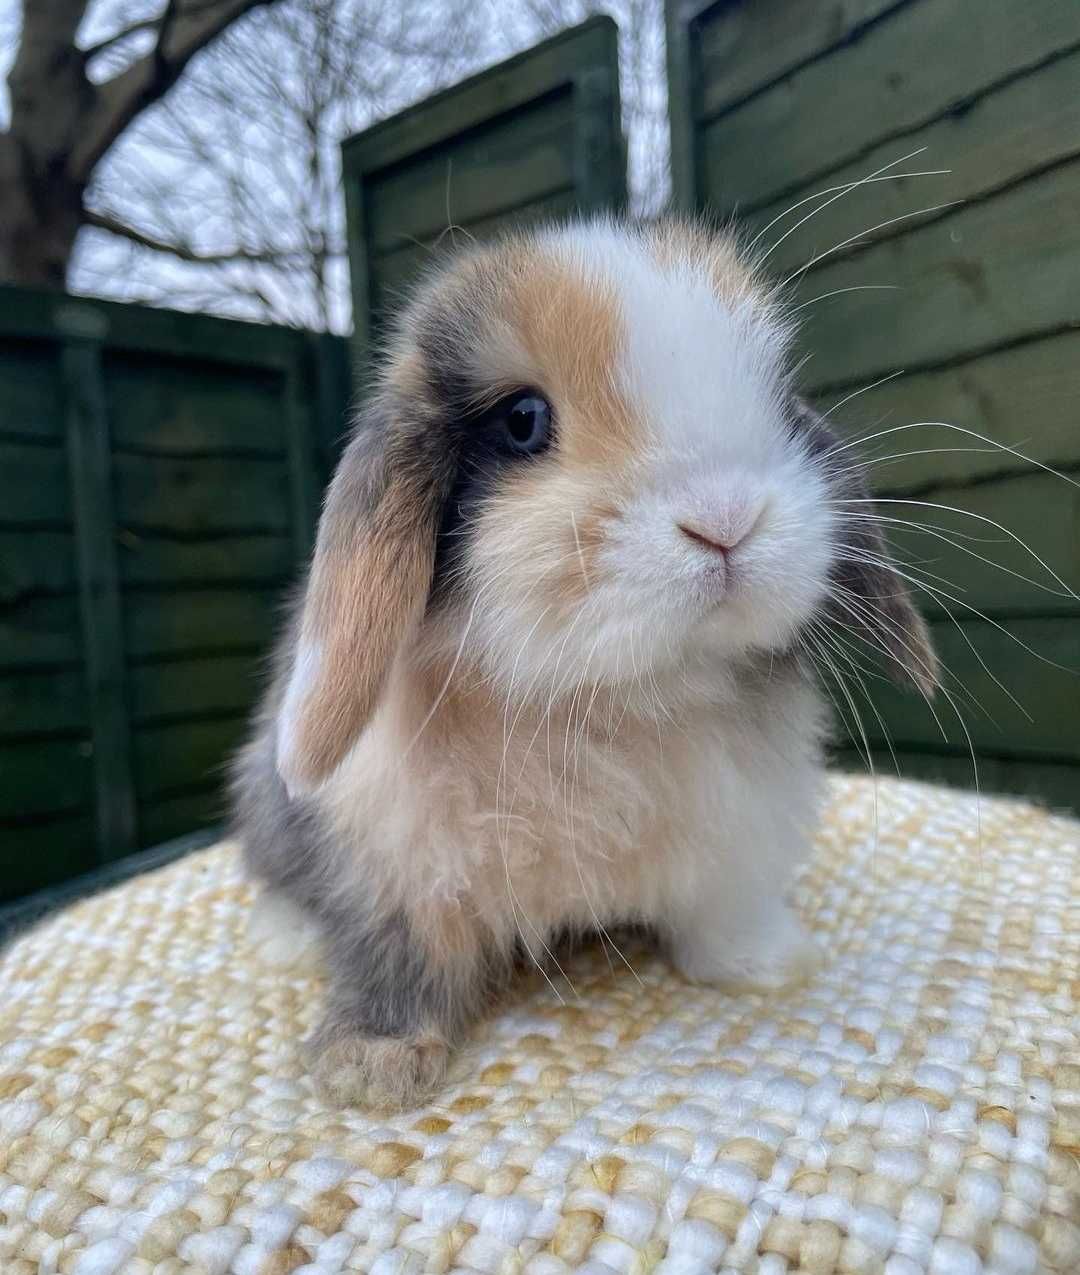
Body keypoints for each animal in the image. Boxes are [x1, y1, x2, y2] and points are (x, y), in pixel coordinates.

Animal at [230, 216, 938, 1106]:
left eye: (776, 395)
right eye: (524, 420)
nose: (727, 519)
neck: (602, 701)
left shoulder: (738, 837)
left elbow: (725, 908)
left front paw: (770, 963)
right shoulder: (391, 863)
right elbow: (397, 954)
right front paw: (372, 1066)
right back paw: (284, 937)